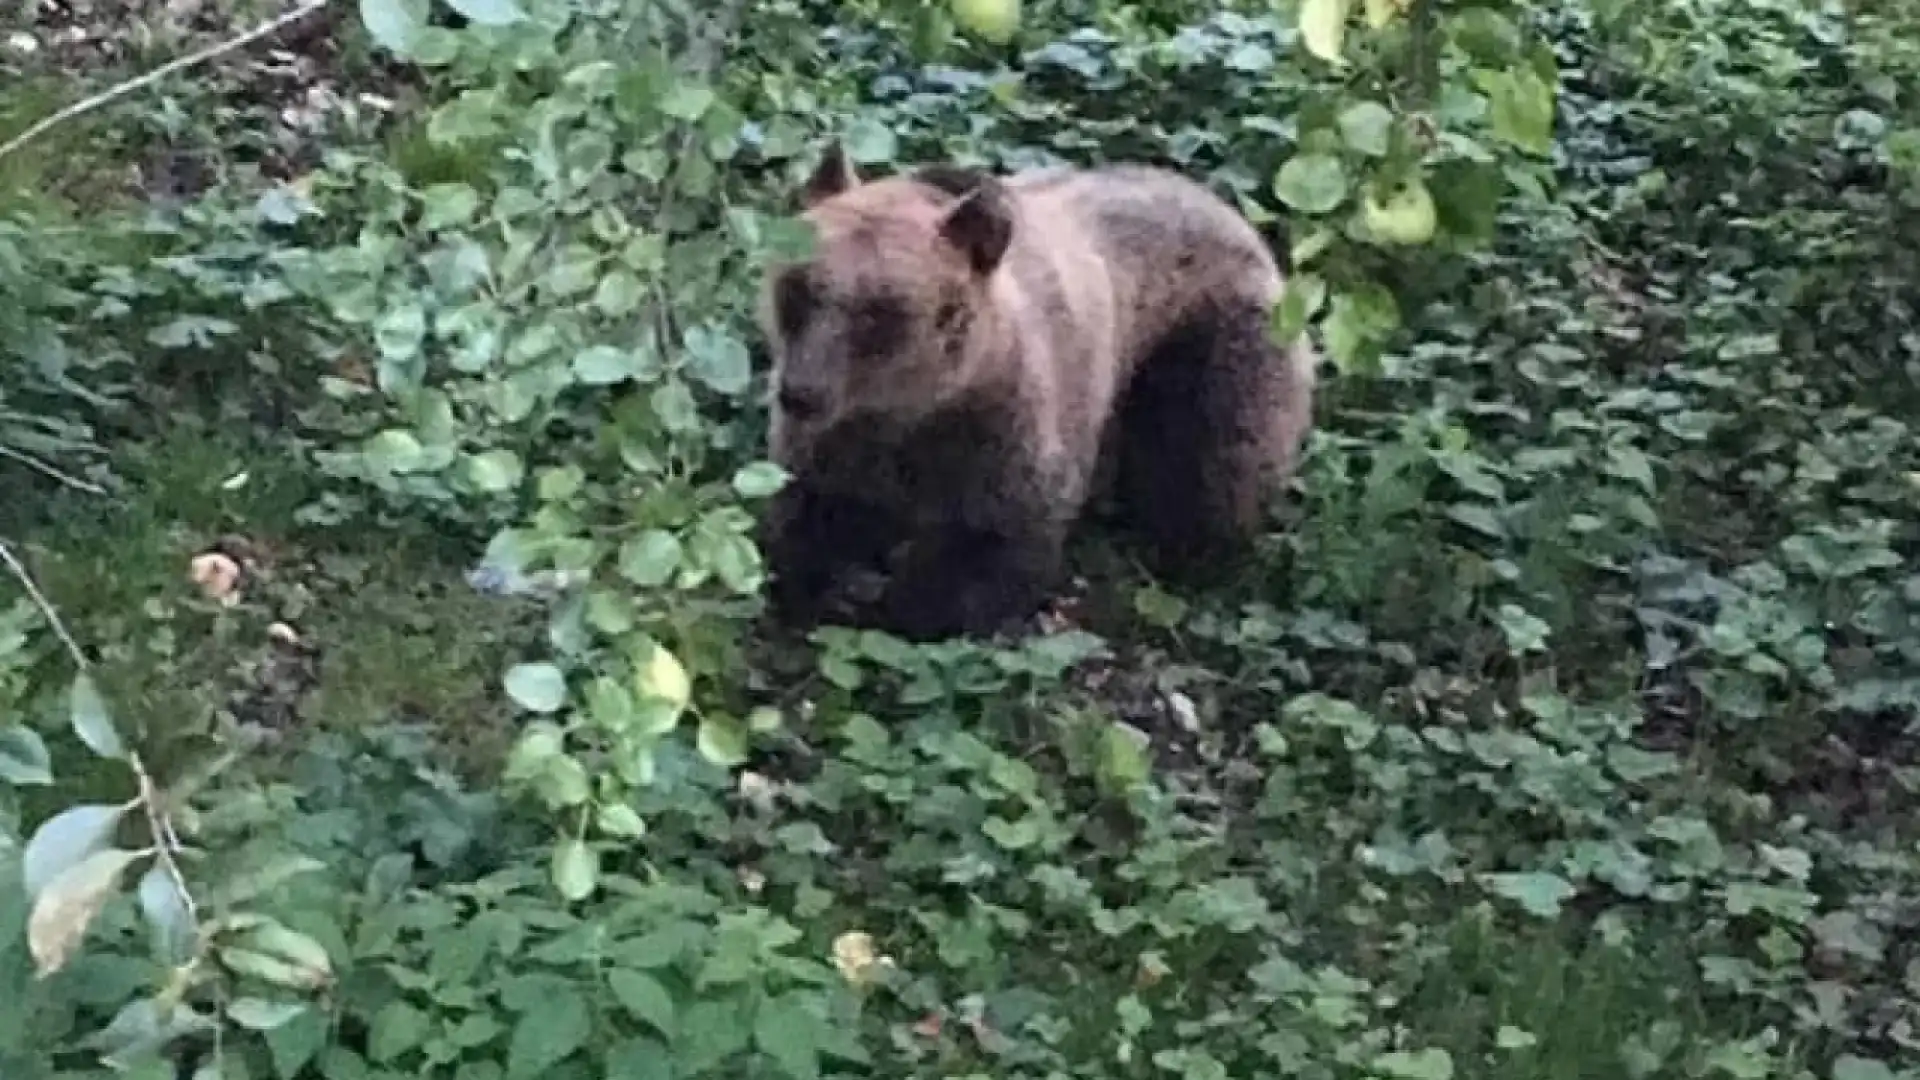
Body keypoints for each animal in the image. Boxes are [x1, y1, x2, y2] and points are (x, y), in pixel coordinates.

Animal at [756, 143, 1313, 638]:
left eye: (878, 313)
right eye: (797, 288)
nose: (801, 392)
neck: (918, 408)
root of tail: (1238, 218)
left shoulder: (1006, 430)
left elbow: (993, 542)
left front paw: (911, 603)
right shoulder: (840, 446)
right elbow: (808, 510)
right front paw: (828, 581)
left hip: (1208, 341)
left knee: (1210, 464)